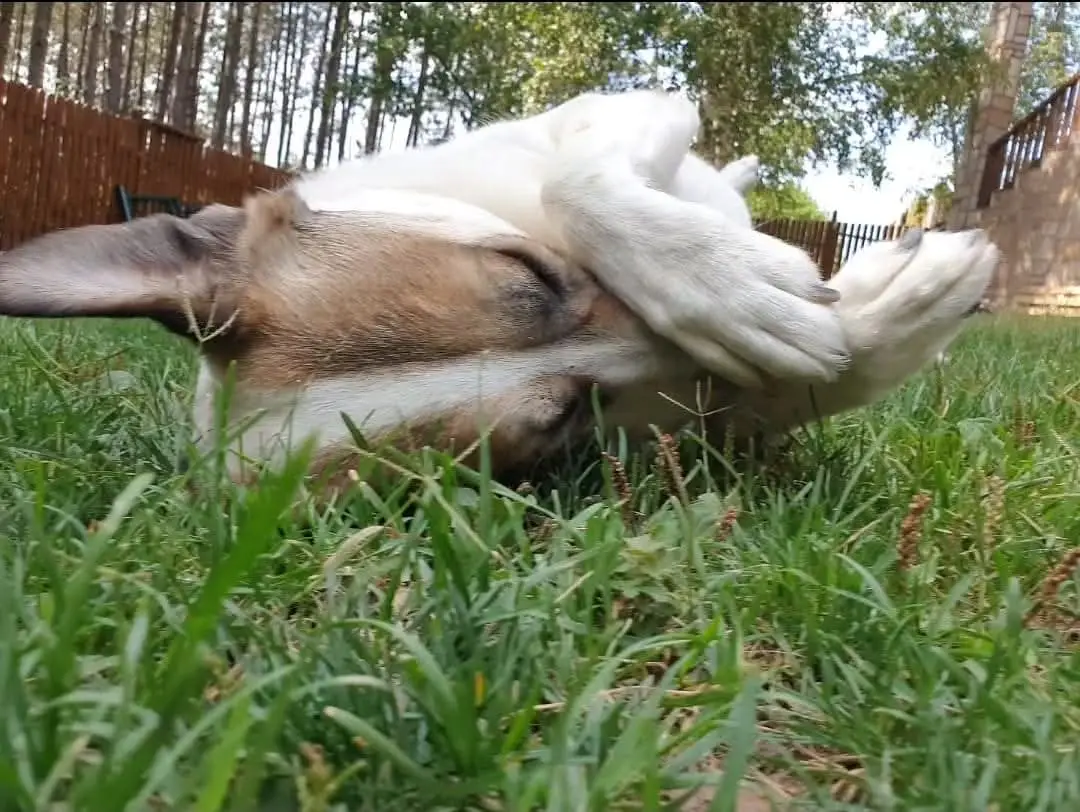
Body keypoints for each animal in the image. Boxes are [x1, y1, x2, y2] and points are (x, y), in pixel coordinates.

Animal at [0, 90, 999, 491]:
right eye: (556, 424)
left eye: (528, 272)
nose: (690, 363)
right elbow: (814, 377)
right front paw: (888, 313)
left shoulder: (626, 113)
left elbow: (579, 181)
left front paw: (734, 287)